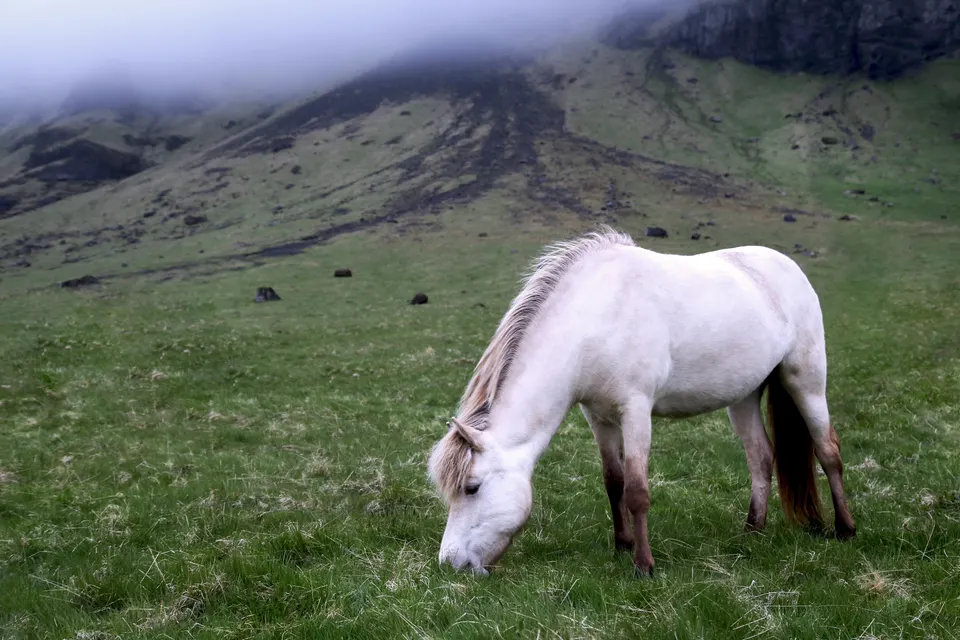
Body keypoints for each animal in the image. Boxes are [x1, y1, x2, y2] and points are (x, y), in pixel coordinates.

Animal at [427, 225, 857, 577]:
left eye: (472, 488)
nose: (450, 563)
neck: (593, 320)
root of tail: (787, 266)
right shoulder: (597, 416)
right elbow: (613, 482)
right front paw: (622, 545)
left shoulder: (635, 411)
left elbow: (636, 490)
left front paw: (644, 565)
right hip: (744, 397)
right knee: (761, 457)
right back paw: (753, 531)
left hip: (806, 381)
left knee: (828, 451)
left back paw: (845, 528)